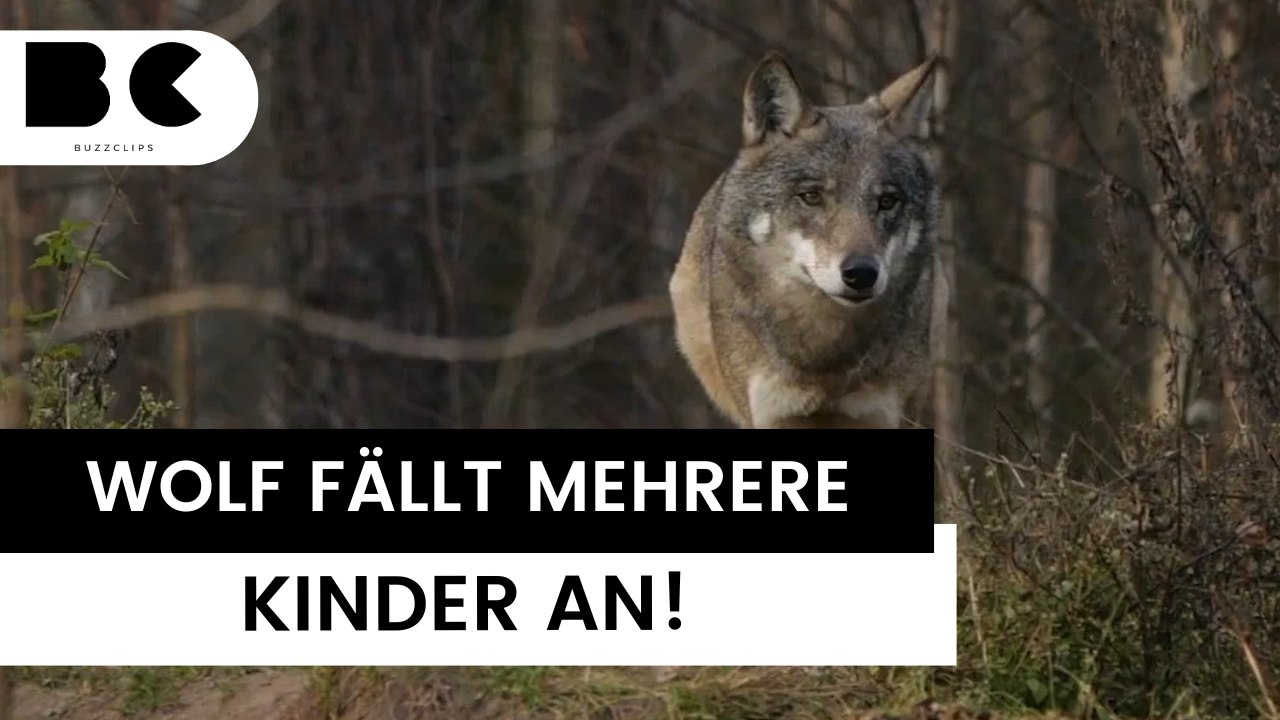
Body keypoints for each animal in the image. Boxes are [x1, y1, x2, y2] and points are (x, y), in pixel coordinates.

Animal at [668, 50, 941, 429]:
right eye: (811, 196)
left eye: (887, 201)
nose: (861, 273)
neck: (825, 352)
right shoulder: (769, 417)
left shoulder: (888, 416)